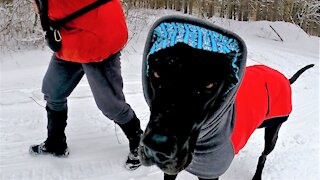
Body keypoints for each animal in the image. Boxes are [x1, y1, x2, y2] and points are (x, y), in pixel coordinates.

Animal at [139, 15, 314, 180]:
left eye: (209, 84)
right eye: (157, 73)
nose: (157, 146)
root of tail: (285, 79)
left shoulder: (210, 173)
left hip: (272, 134)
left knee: (263, 156)